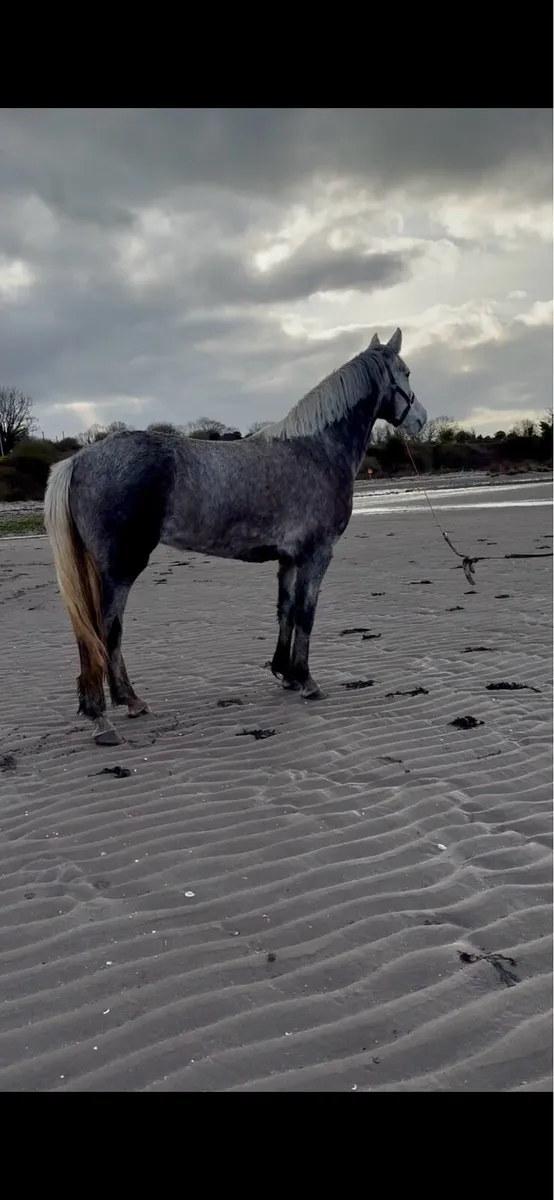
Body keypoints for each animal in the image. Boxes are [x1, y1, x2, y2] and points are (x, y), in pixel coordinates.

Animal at [44, 327, 427, 746]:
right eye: (406, 372)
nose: (421, 420)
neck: (316, 450)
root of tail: (78, 460)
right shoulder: (316, 555)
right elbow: (306, 614)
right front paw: (308, 681)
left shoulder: (289, 558)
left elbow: (286, 611)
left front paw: (287, 675)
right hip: (121, 568)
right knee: (102, 632)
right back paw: (103, 718)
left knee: (106, 633)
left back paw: (129, 702)